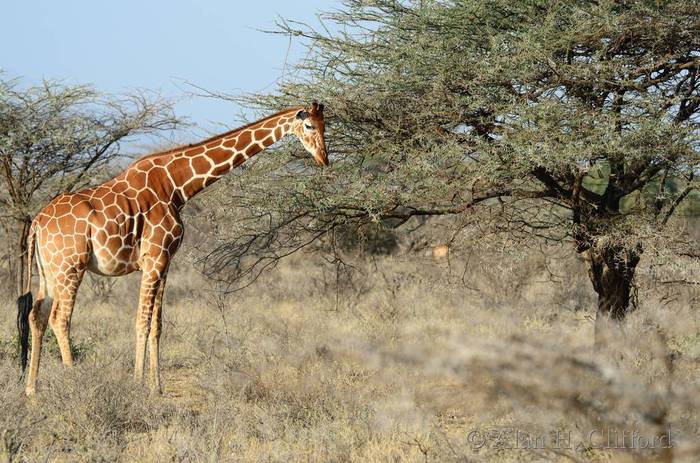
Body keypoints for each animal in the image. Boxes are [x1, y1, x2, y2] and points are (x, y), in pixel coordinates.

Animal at [16, 101, 328, 396]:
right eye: (309, 126)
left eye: (326, 126)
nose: (324, 158)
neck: (177, 186)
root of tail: (38, 223)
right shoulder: (153, 258)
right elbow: (141, 322)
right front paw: (138, 384)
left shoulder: (165, 262)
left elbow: (157, 325)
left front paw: (157, 387)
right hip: (71, 266)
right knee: (60, 319)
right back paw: (73, 384)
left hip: (49, 270)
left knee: (36, 316)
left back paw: (31, 389)